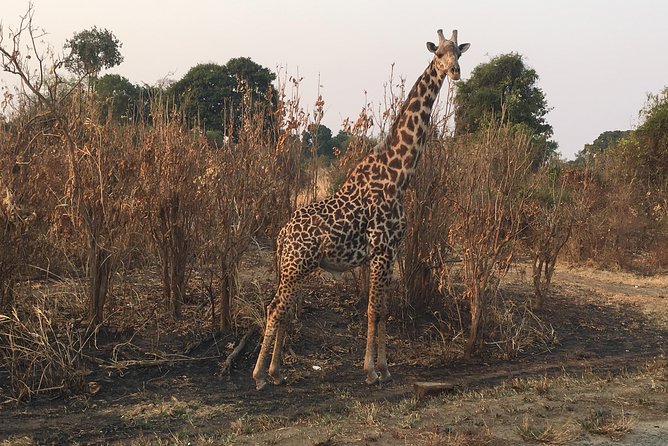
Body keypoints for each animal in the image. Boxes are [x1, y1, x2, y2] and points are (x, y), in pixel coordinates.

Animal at [253, 28, 472, 390]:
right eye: (439, 53)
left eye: (460, 52)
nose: (454, 72)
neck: (399, 175)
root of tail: (282, 236)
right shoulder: (381, 249)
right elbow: (372, 310)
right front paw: (370, 371)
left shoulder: (390, 251)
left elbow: (382, 309)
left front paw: (384, 368)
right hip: (296, 266)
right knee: (274, 308)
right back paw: (259, 374)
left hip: (294, 268)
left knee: (284, 309)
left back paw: (277, 371)